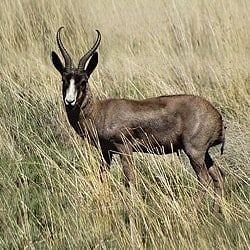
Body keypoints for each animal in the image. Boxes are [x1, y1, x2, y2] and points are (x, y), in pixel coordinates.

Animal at [51, 26, 227, 213]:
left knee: (204, 179)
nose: (70, 101)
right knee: (218, 175)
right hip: (204, 153)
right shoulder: (106, 152)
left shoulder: (124, 148)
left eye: (83, 81)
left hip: (194, 152)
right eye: (64, 80)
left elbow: (130, 178)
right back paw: (216, 212)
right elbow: (102, 176)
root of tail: (217, 116)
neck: (100, 112)